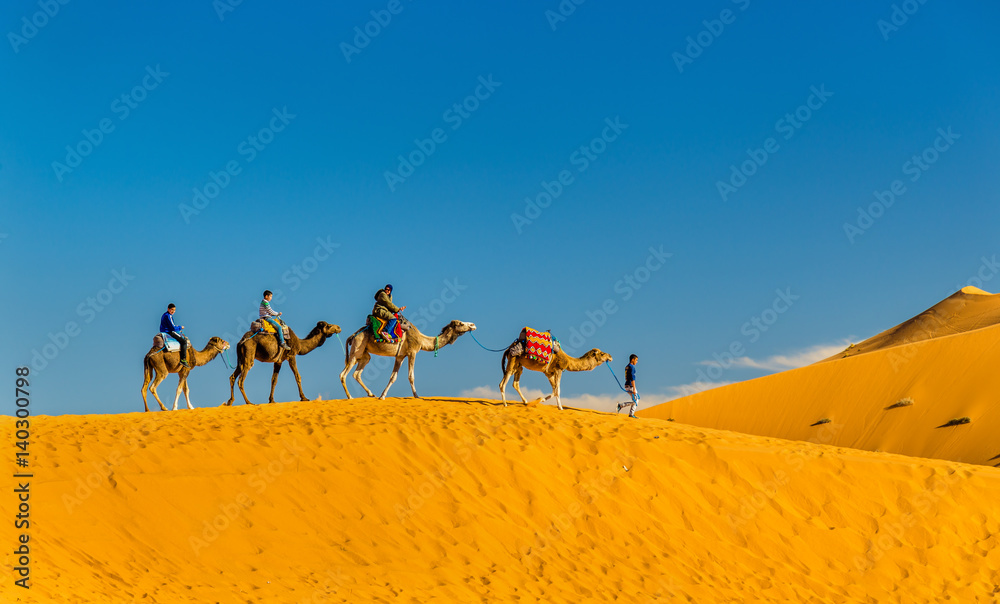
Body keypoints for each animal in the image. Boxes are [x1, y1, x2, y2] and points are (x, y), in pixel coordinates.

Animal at [342, 318, 478, 398]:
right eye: (461, 323)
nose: (473, 325)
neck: (421, 340)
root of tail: (353, 335)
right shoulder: (412, 352)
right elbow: (411, 376)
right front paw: (417, 396)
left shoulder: (400, 356)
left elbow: (393, 377)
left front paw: (382, 395)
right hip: (357, 349)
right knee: (343, 374)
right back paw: (350, 397)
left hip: (364, 354)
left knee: (357, 373)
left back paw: (371, 394)